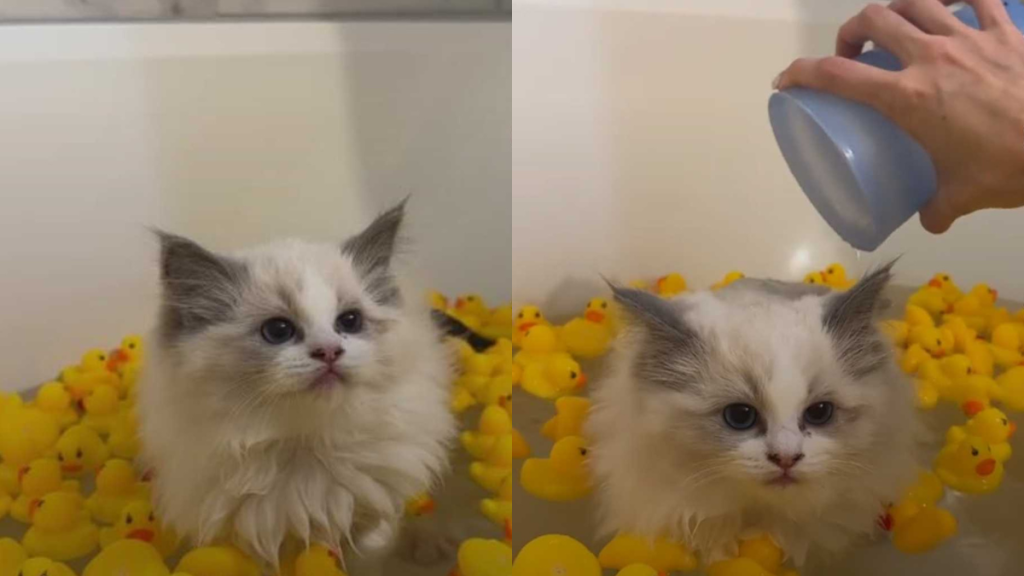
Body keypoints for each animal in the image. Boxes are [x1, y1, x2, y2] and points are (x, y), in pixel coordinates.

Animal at [136, 200, 456, 565]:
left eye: (350, 321)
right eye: (278, 331)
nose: (329, 351)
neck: (308, 448)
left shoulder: (377, 505)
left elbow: (374, 541)